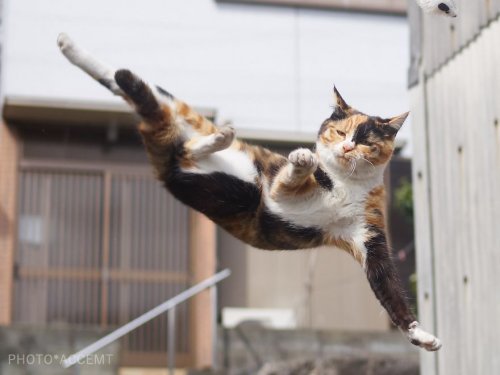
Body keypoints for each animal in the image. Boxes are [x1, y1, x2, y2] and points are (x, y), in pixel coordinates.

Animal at [57, 33, 442, 352]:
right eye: (339, 132)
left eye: (365, 141)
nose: (347, 148)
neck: (346, 182)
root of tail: (166, 162)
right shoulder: (276, 192)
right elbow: (293, 174)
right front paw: (302, 159)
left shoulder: (369, 237)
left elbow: (388, 289)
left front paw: (421, 335)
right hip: (189, 123)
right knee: (134, 87)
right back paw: (70, 46)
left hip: (194, 154)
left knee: (169, 128)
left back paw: (218, 138)